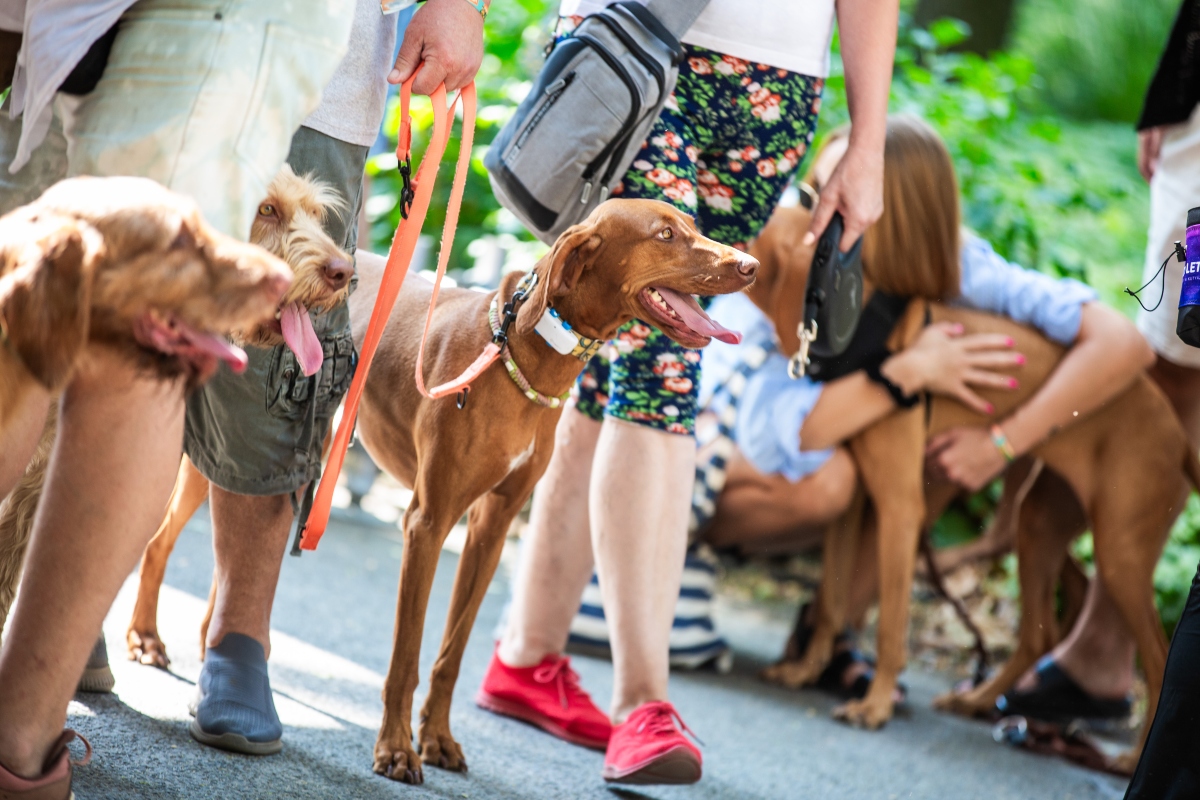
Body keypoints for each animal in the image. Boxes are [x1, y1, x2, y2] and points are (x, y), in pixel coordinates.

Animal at [748, 203, 1190, 772]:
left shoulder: (900, 506)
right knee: (1039, 634)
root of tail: (1179, 438)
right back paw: (980, 700)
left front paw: (874, 706)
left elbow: (890, 622)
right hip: (1040, 522)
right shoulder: (852, 506)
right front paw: (805, 671)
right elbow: (831, 601)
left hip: (1120, 552)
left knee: (1156, 658)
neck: (869, 335)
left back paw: (1131, 760)